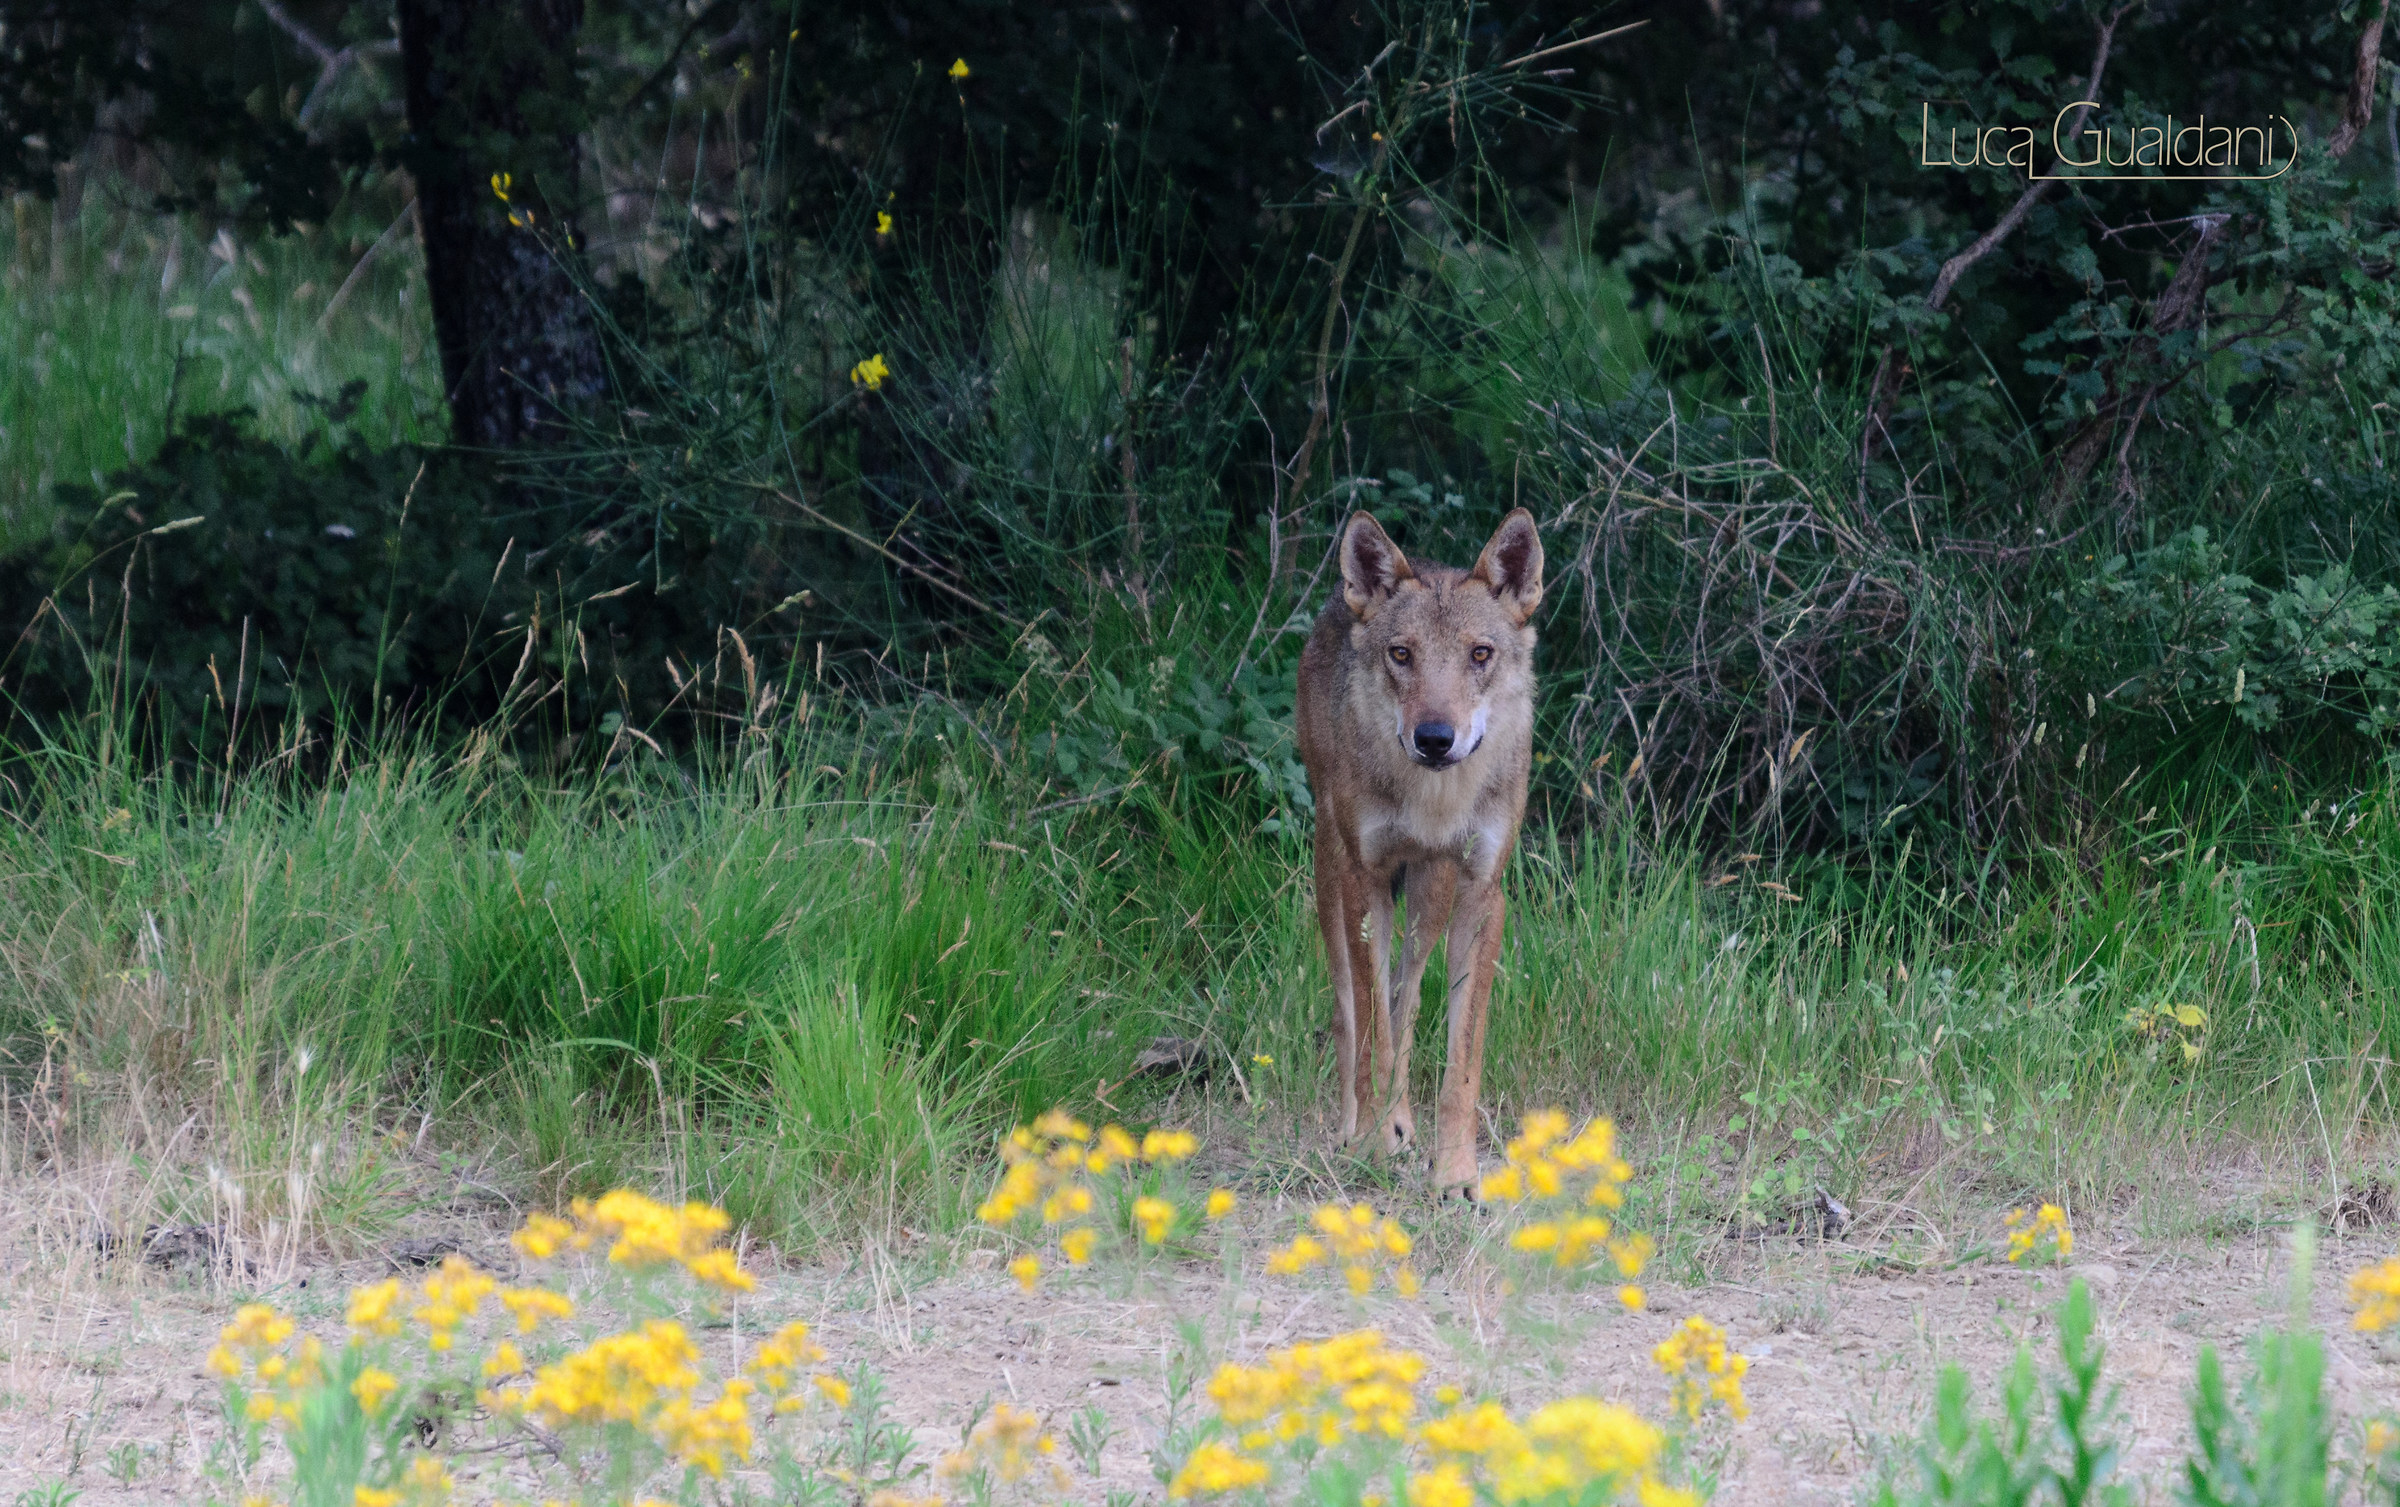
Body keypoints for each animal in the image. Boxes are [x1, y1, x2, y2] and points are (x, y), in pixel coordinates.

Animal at [1295, 508, 1544, 1192]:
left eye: (1480, 654)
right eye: (1401, 655)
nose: (1434, 738)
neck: (1436, 801)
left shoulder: (1484, 893)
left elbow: (1461, 1060)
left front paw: (1456, 1174)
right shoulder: (1365, 882)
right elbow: (1370, 1036)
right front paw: (1371, 1144)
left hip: (1432, 896)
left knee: (1407, 997)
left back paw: (1405, 1123)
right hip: (1332, 873)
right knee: (1352, 1012)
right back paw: (1358, 1127)